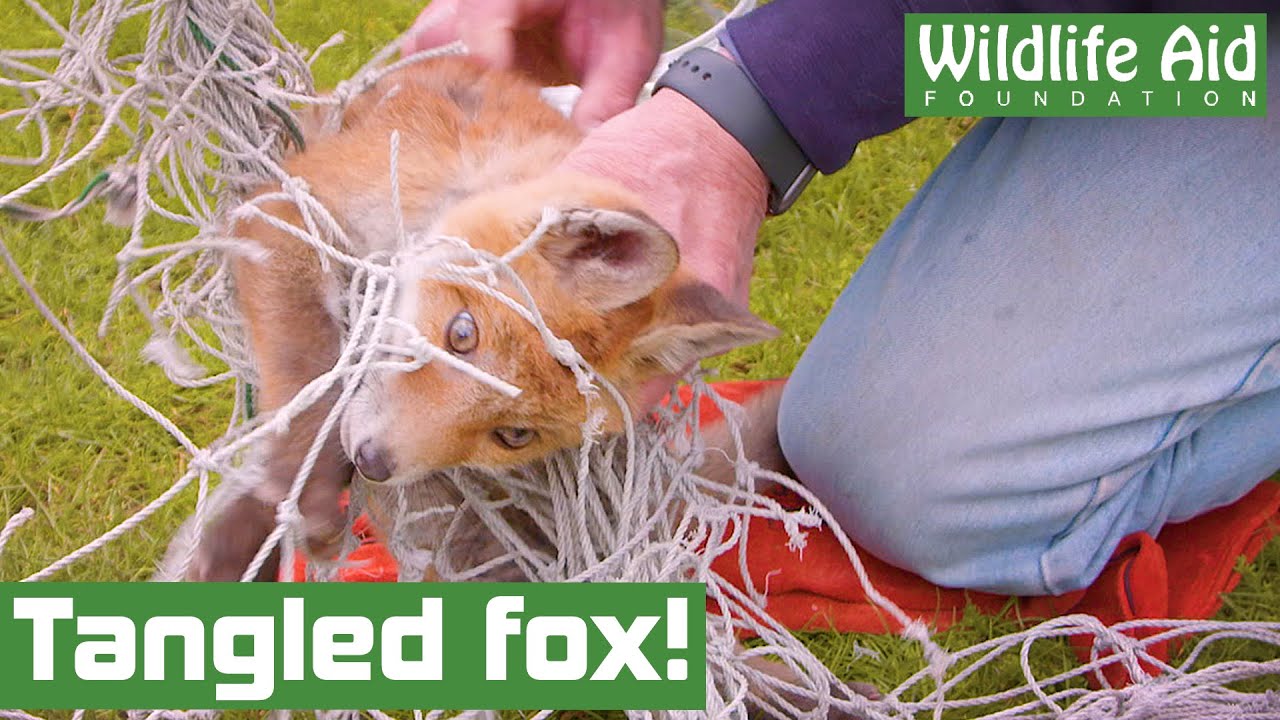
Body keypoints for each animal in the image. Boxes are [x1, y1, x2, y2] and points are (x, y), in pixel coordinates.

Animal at [178, 56, 877, 714]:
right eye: (462, 333)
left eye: (512, 436)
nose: (373, 464)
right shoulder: (281, 211)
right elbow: (309, 380)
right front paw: (298, 497)